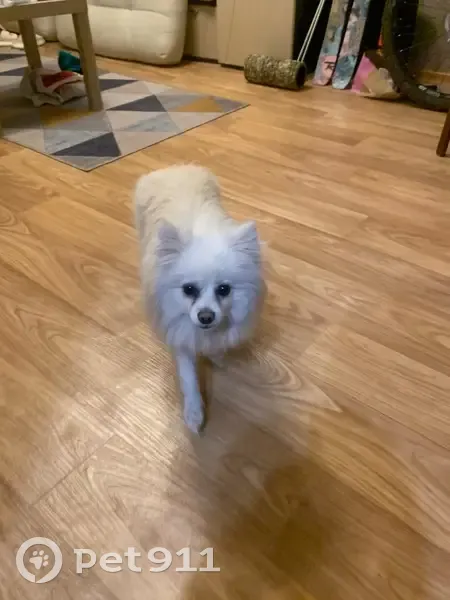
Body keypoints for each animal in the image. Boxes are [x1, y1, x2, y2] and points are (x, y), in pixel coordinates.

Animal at [134, 164, 264, 433]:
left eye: (224, 289)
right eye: (188, 289)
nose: (205, 316)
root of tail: (173, 168)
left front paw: (217, 356)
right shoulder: (180, 333)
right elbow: (188, 378)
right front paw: (194, 413)